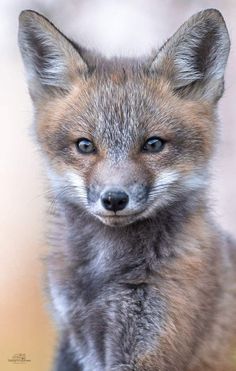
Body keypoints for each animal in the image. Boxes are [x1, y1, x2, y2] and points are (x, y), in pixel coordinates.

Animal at [18, 6, 236, 371]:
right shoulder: (77, 339)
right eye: (85, 146)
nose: (115, 199)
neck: (103, 278)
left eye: (153, 144)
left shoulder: (152, 346)